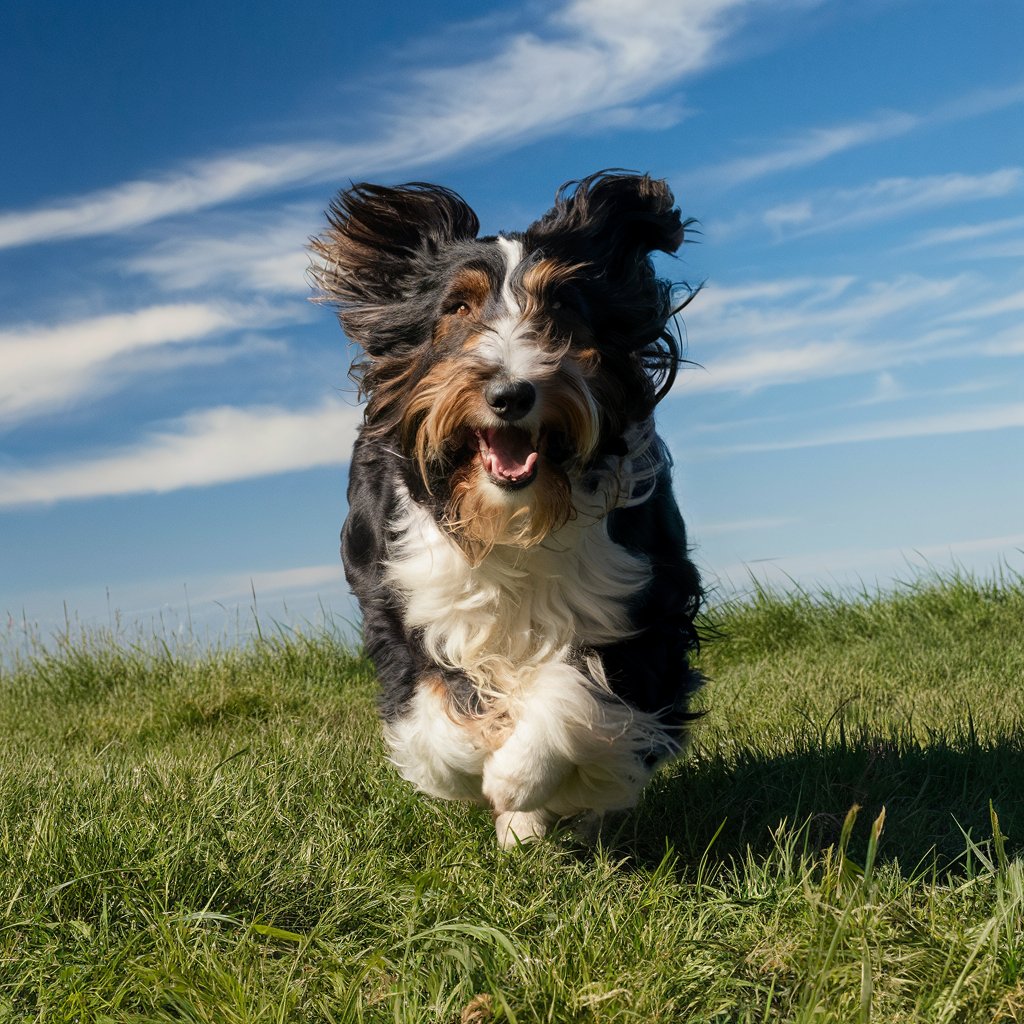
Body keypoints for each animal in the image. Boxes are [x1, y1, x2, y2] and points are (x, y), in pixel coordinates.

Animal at [311, 172, 704, 847]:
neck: (513, 520)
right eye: (457, 307)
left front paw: (522, 777)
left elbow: (582, 690)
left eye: (565, 306)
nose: (510, 393)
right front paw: (471, 763)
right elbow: (429, 703)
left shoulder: (643, 599)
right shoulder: (402, 596)